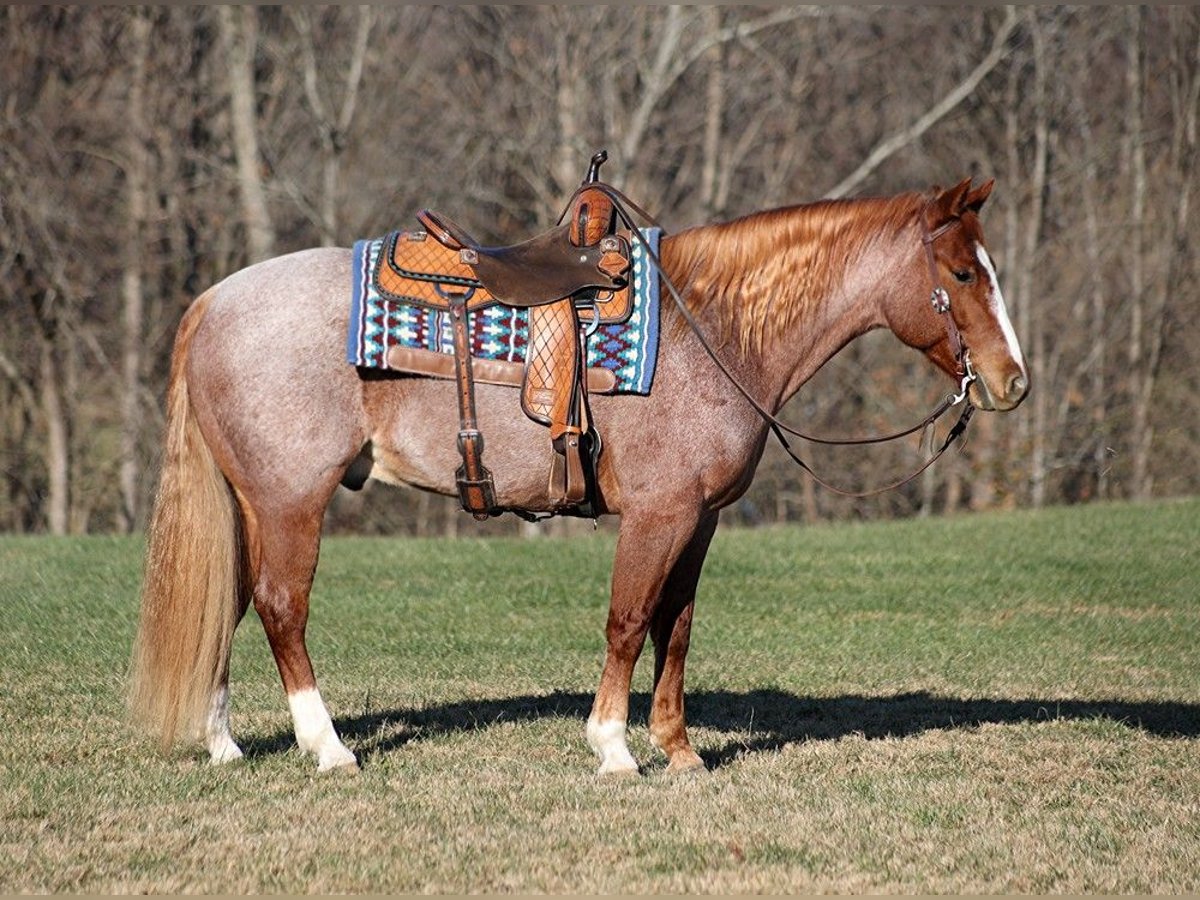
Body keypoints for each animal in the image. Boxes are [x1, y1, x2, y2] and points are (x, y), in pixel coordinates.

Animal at [131, 176, 1032, 777]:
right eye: (961, 274)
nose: (1012, 381)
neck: (713, 330)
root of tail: (212, 301)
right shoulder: (659, 514)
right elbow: (629, 620)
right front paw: (615, 748)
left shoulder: (699, 518)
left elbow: (676, 625)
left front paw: (678, 750)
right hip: (290, 500)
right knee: (281, 608)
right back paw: (328, 748)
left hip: (251, 503)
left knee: (229, 602)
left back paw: (224, 744)